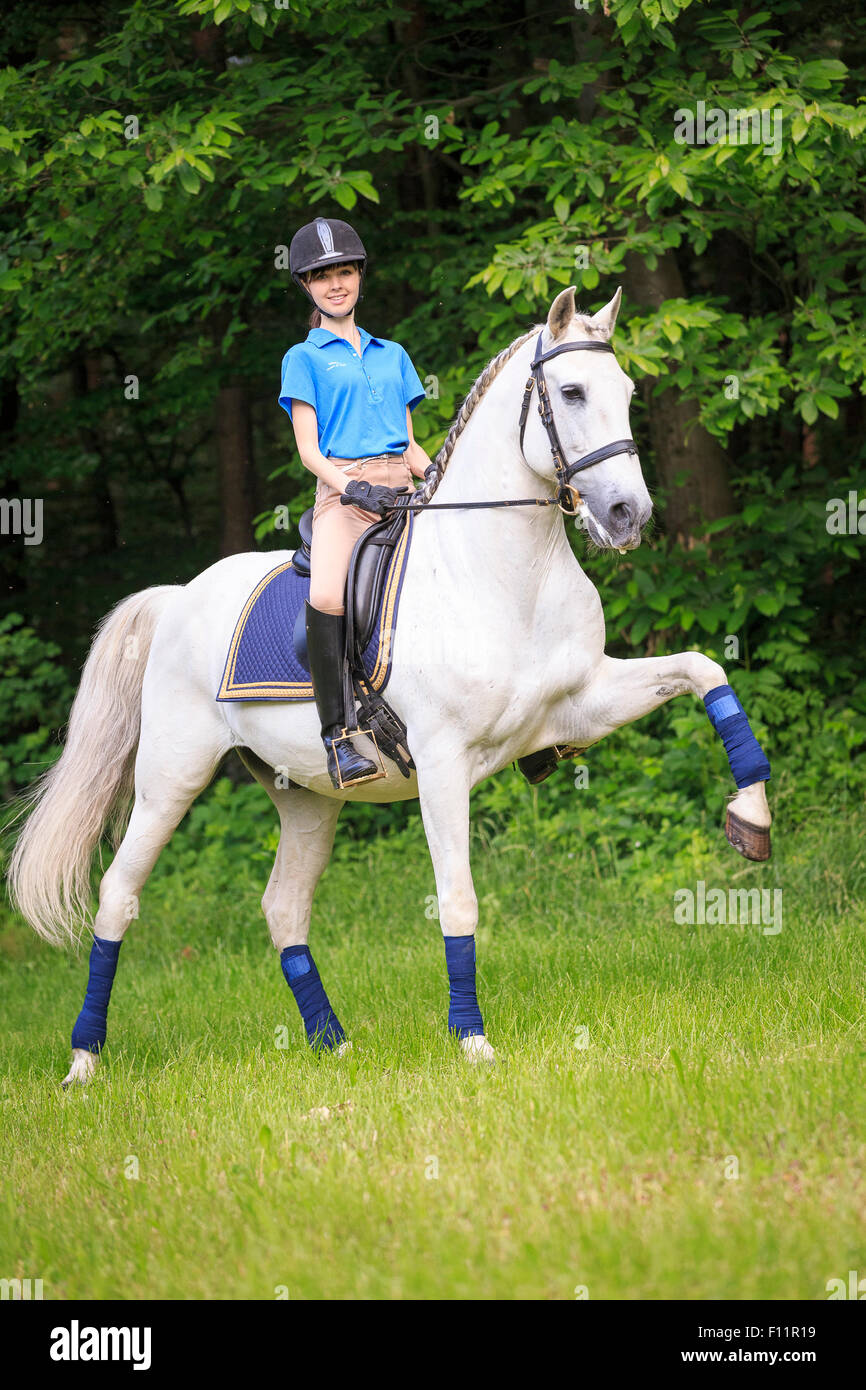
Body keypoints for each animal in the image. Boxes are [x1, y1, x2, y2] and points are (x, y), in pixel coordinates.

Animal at [5, 284, 767, 1084]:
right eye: (571, 392)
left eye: (626, 392)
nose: (628, 516)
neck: (504, 572)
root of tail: (179, 596)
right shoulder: (442, 762)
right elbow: (458, 899)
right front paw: (472, 1040)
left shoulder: (577, 707)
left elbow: (703, 669)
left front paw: (751, 816)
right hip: (169, 778)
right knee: (117, 898)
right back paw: (83, 1062)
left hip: (305, 794)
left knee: (283, 908)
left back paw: (331, 1043)